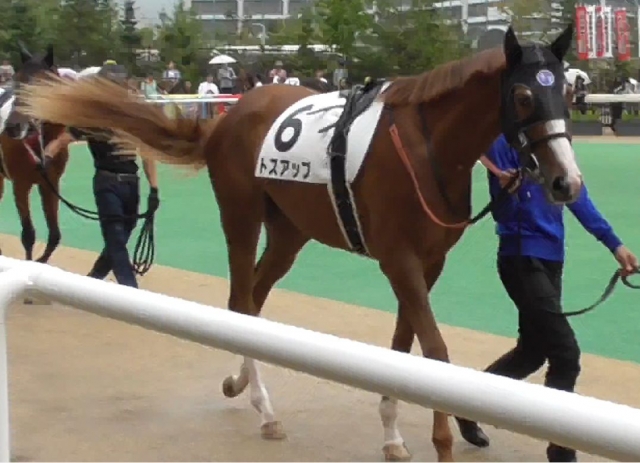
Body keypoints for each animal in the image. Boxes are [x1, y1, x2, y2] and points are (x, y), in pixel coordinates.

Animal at [0, 44, 68, 264]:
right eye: (17, 81)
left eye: (41, 86)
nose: (12, 127)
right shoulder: (21, 184)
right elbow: (28, 235)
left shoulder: (50, 184)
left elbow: (55, 235)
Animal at [20, 25, 579, 462]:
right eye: (524, 97)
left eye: (567, 95)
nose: (565, 182)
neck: (426, 147)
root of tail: (227, 116)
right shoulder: (399, 260)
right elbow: (436, 350)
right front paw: (441, 442)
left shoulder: (428, 262)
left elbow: (403, 347)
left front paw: (393, 435)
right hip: (240, 216)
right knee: (240, 301)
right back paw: (265, 411)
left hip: (289, 231)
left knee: (254, 298)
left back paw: (241, 384)